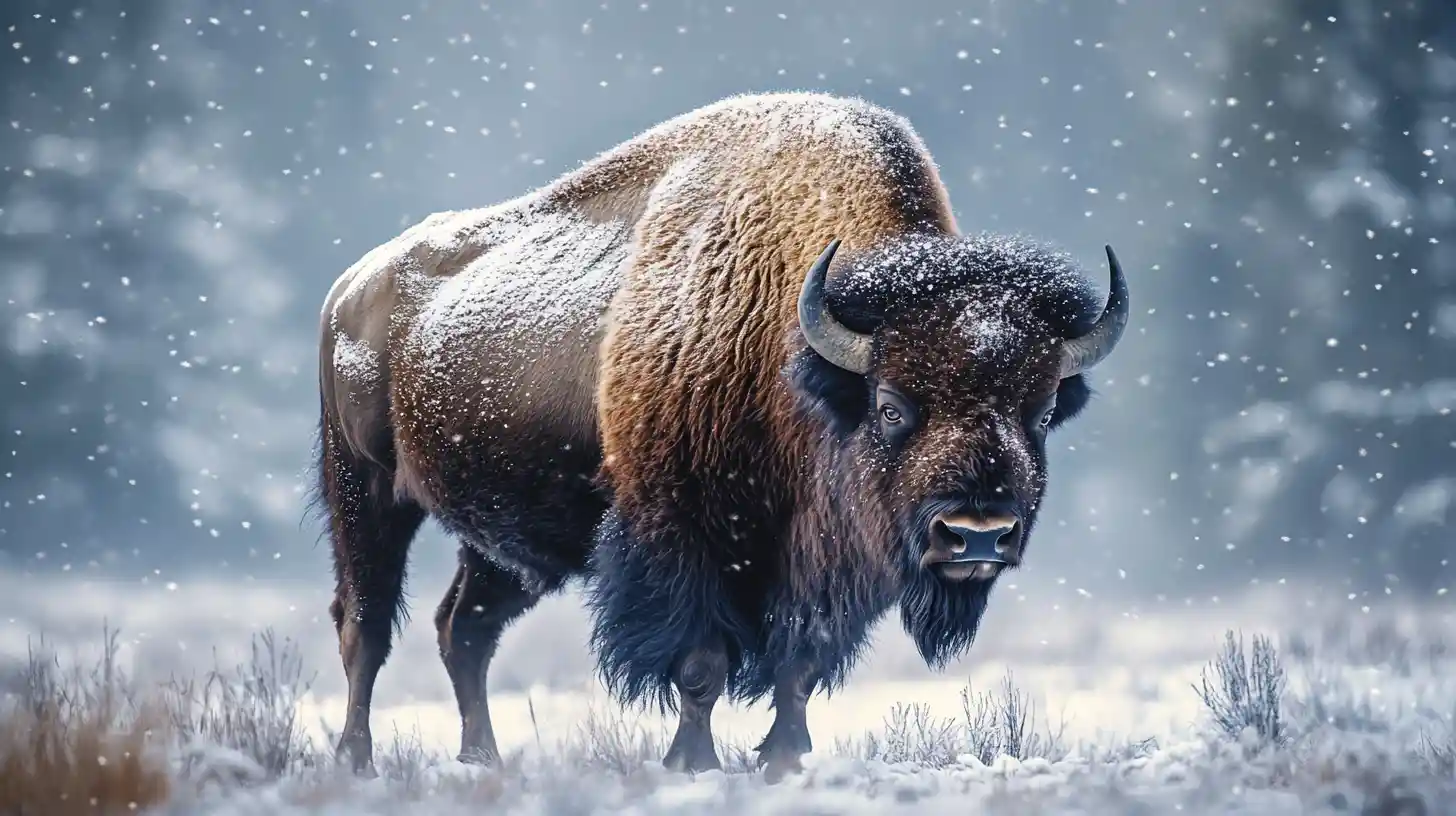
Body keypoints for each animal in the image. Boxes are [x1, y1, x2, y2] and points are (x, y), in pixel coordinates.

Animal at [313, 91, 1129, 780]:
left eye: (1040, 410)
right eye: (893, 405)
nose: (977, 534)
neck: (801, 351)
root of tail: (351, 285)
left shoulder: (822, 564)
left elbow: (800, 664)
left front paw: (786, 758)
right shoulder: (682, 536)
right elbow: (700, 664)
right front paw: (692, 762)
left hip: (507, 546)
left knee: (465, 629)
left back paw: (482, 759)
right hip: (364, 490)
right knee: (366, 626)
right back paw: (358, 761)